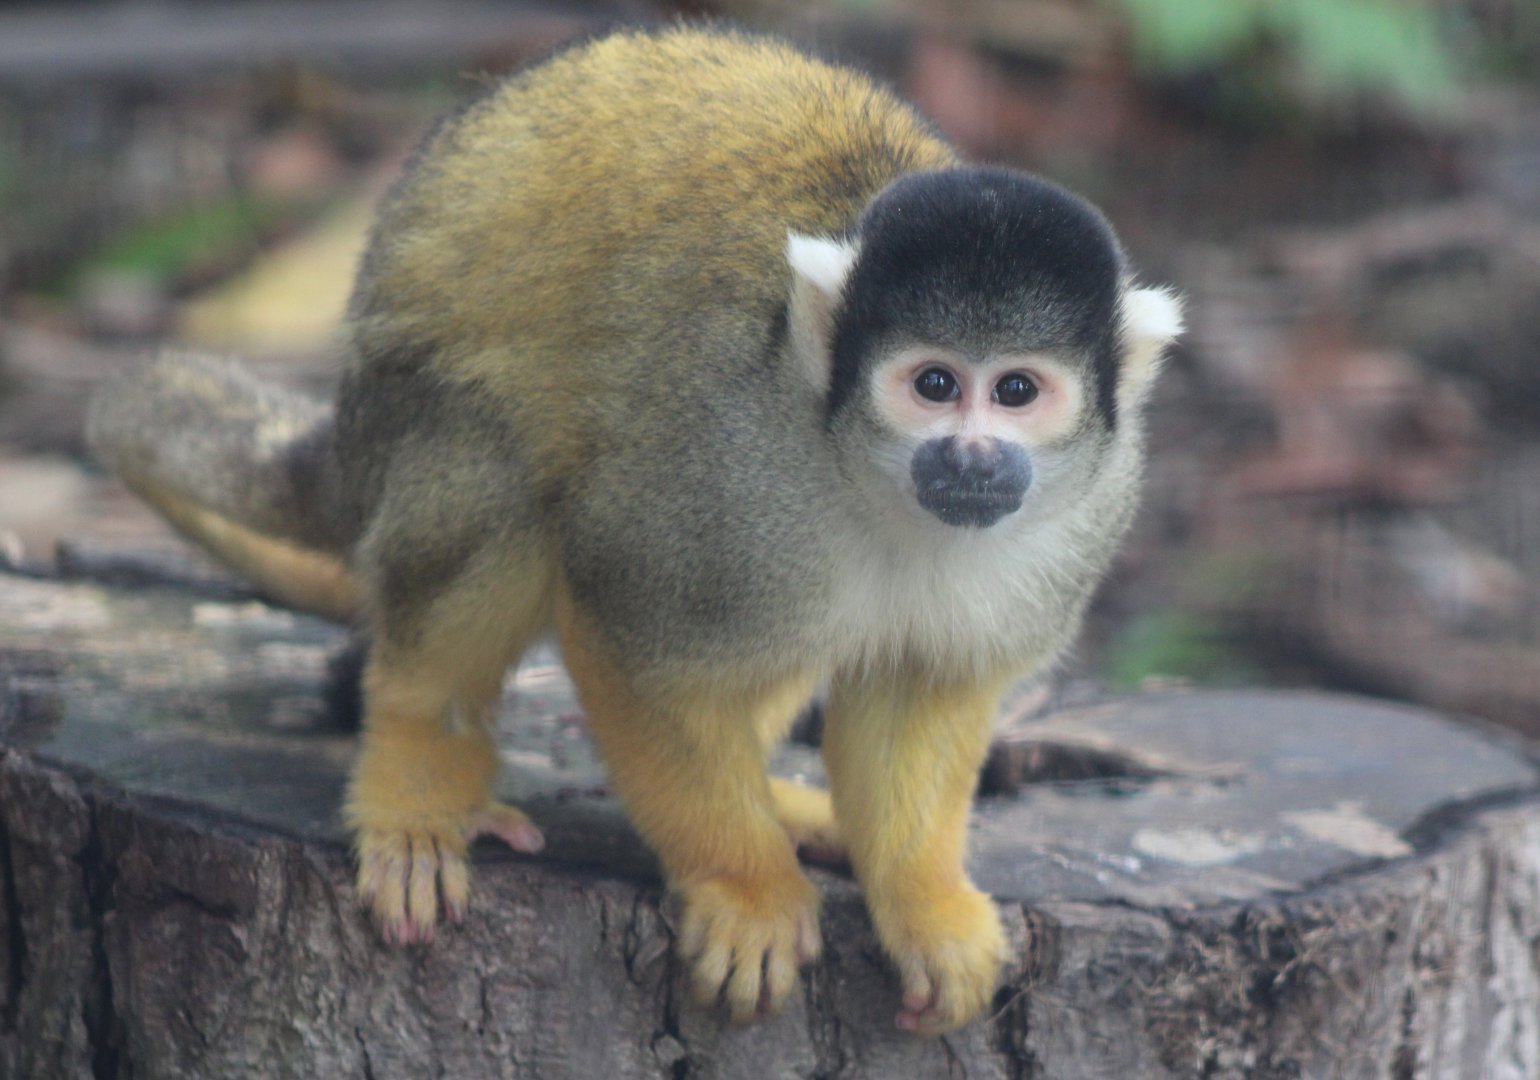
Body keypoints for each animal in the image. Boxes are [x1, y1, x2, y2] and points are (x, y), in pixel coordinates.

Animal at [87, 25, 1182, 1035]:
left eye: (1016, 391)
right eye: (935, 385)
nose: (970, 458)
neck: (880, 492)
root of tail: (350, 413)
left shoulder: (1093, 511)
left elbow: (927, 689)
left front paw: (923, 901)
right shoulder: (719, 465)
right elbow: (629, 631)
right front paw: (745, 888)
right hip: (401, 420)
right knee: (500, 467)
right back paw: (415, 768)